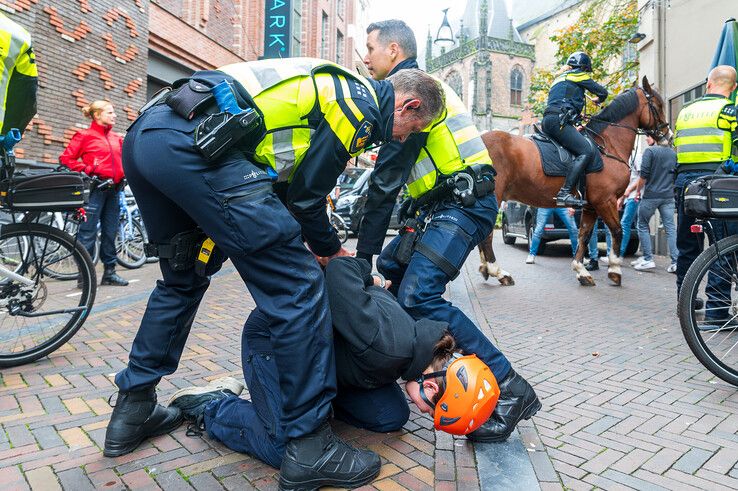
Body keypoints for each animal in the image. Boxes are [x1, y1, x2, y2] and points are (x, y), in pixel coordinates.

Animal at [474, 75, 668, 286]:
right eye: (658, 105)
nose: (667, 134)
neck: (608, 146)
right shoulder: (605, 201)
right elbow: (617, 231)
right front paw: (615, 270)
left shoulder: (591, 206)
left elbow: (584, 235)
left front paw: (581, 270)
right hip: (494, 197)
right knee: (486, 234)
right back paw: (498, 272)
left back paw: (485, 268)